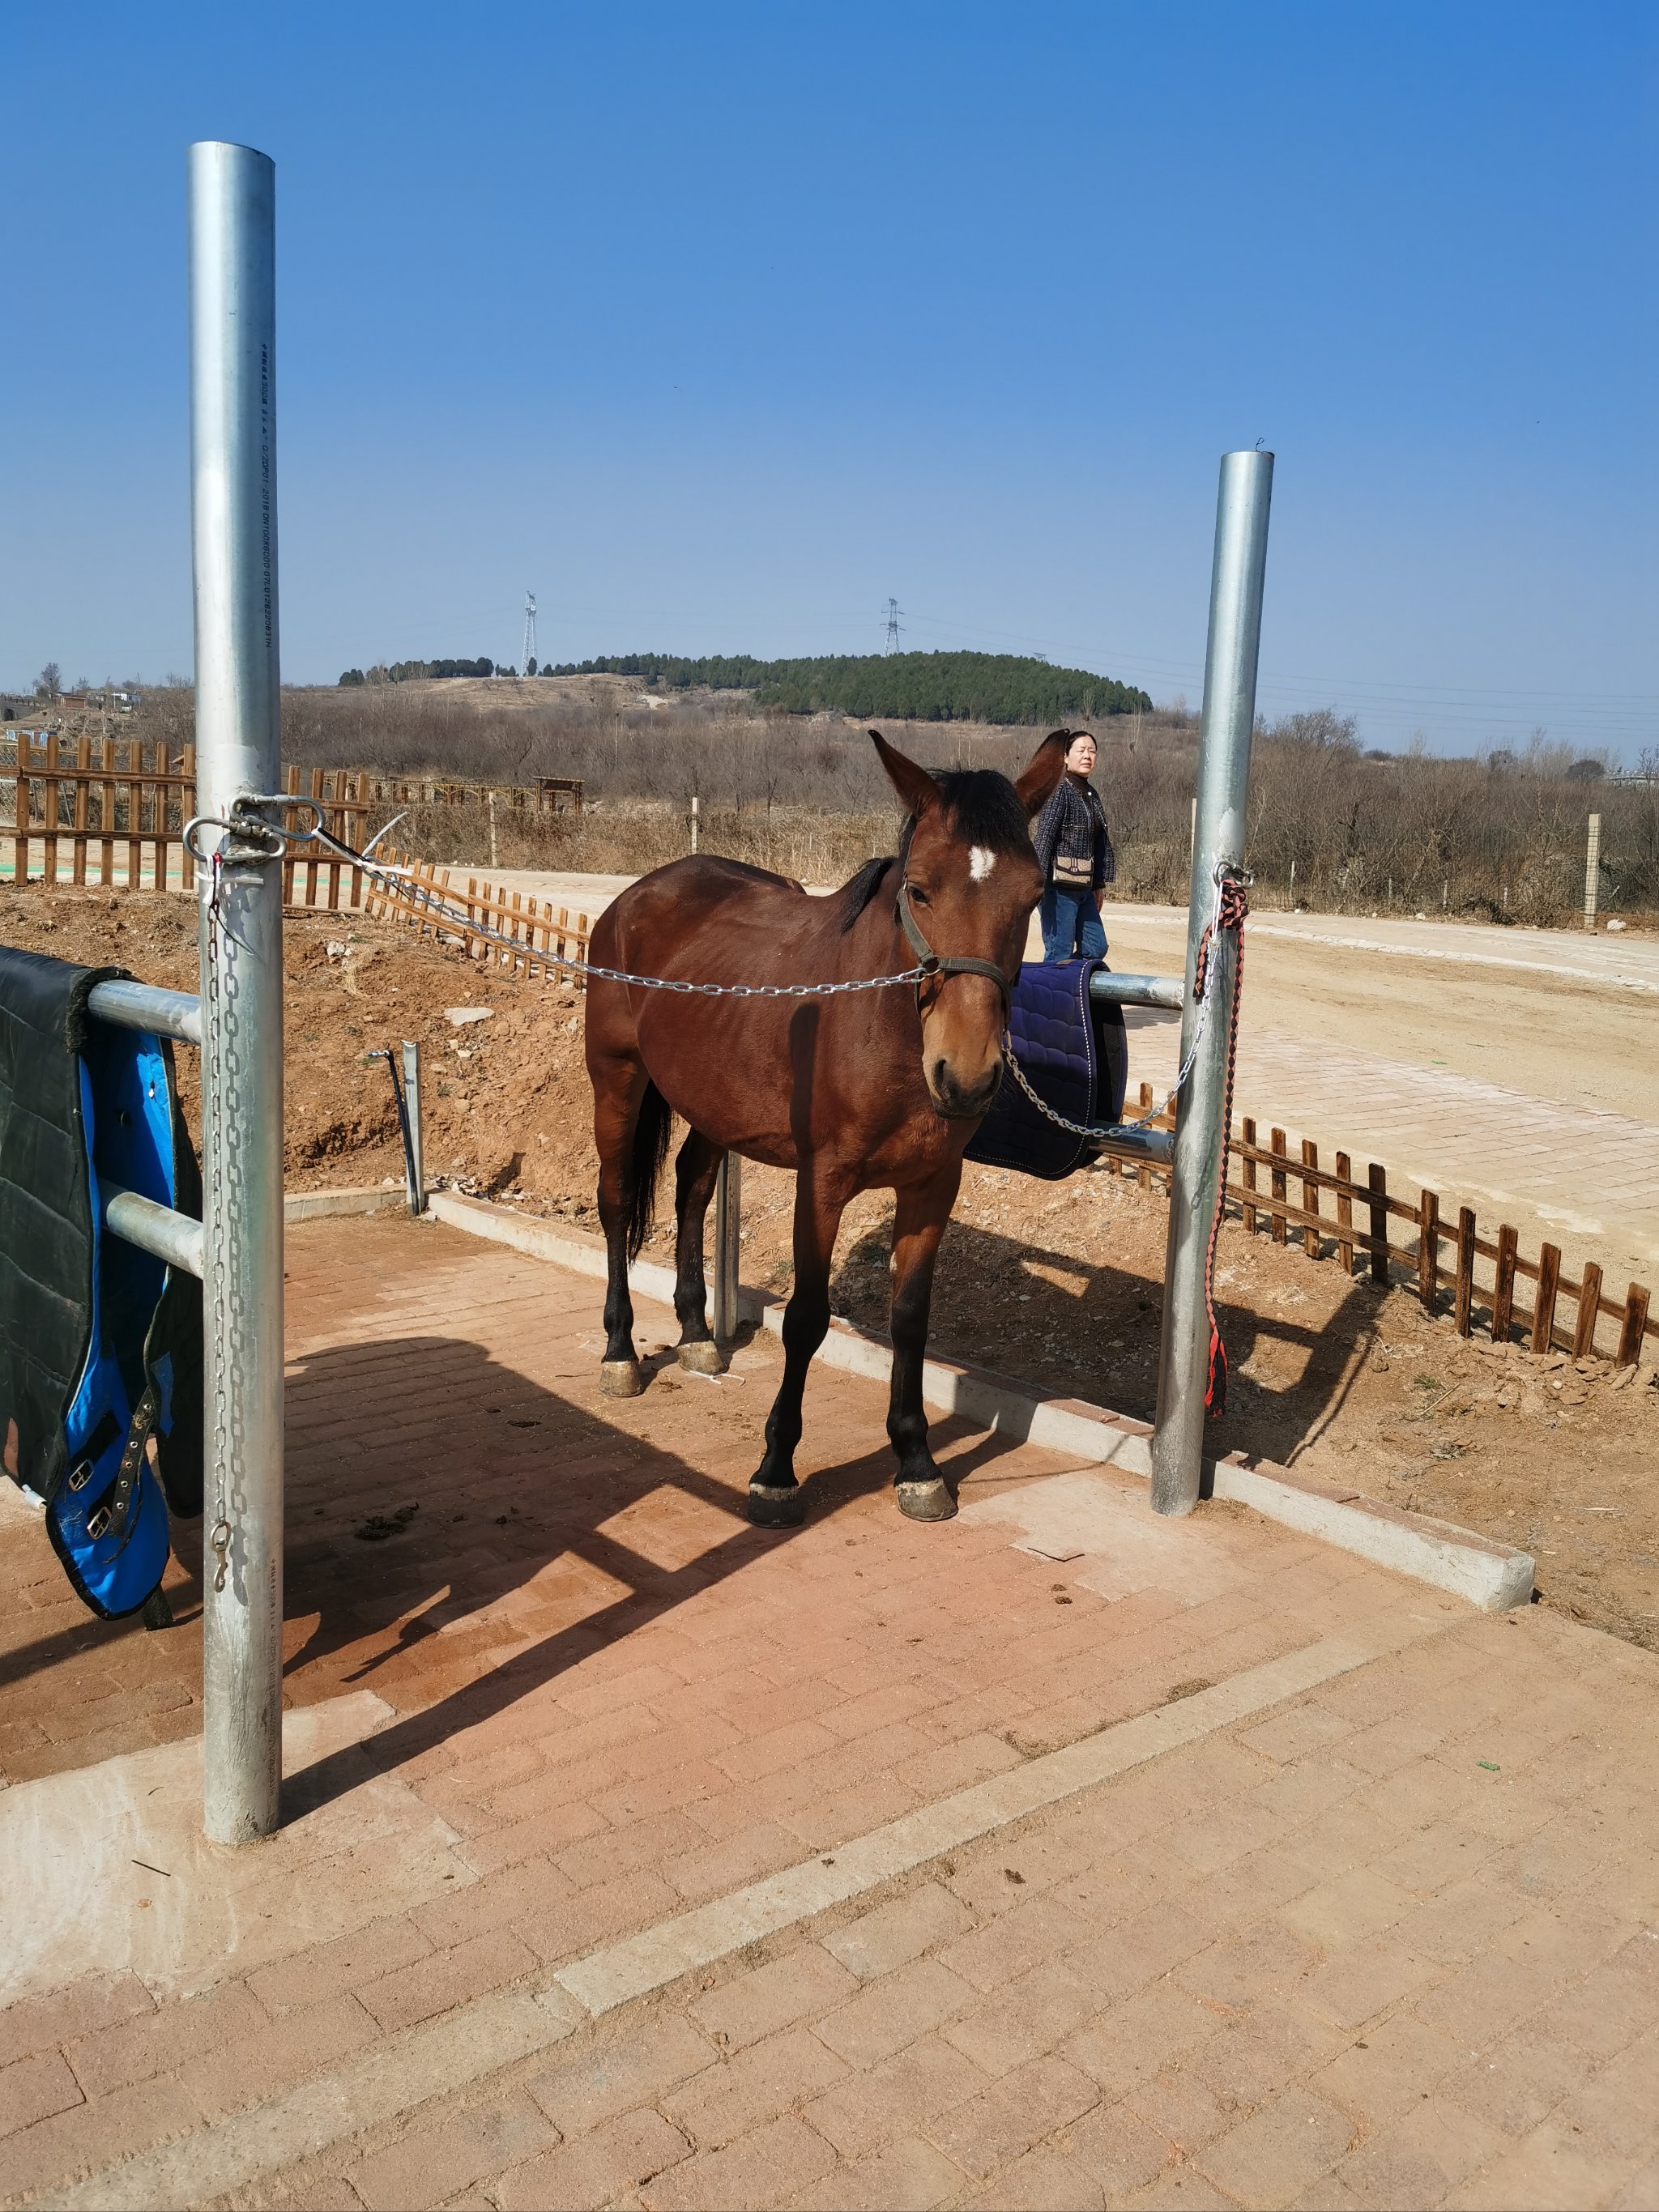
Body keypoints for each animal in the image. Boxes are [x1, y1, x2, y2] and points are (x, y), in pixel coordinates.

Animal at [592, 734, 1070, 1530]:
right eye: (919, 889)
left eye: (1033, 894)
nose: (966, 1075)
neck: (881, 1026)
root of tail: (637, 895)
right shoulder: (822, 1183)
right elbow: (806, 1319)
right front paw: (776, 1467)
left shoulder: (932, 1187)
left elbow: (910, 1318)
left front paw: (917, 1461)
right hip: (617, 1082)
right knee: (618, 1199)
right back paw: (621, 1351)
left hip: (711, 1101)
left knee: (692, 1189)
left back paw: (695, 1336)